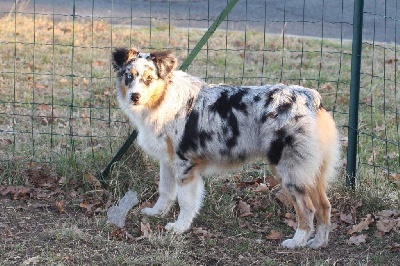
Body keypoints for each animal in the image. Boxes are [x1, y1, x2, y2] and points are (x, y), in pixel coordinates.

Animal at [111, 48, 340, 249]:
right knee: (324, 206)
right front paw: (156, 213)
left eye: (149, 78)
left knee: (307, 209)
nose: (134, 96)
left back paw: (296, 242)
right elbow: (165, 191)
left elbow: (185, 201)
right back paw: (318, 243)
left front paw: (179, 227)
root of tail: (310, 98)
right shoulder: (167, 161)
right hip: (311, 171)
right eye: (129, 76)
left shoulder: (185, 164)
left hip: (289, 169)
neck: (163, 99)